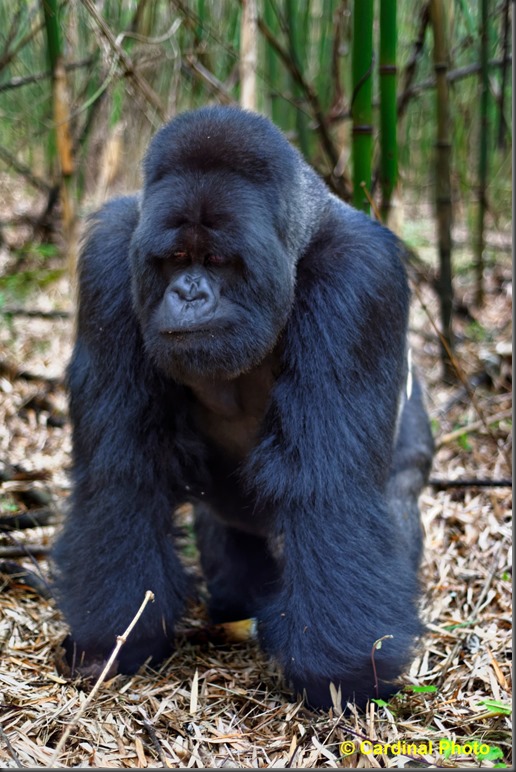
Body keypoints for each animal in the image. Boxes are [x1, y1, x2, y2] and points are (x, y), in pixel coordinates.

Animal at [53, 105, 432, 708]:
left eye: (216, 260)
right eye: (176, 259)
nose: (188, 294)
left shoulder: (358, 277)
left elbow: (331, 491)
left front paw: (344, 672)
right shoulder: (111, 259)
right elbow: (123, 472)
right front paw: (113, 641)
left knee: (395, 498)